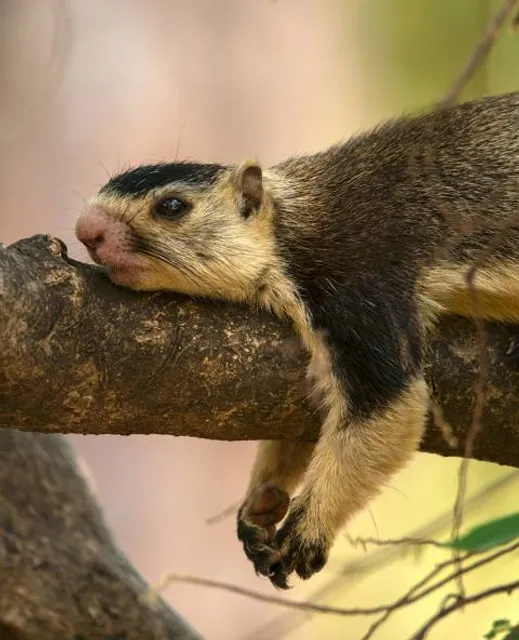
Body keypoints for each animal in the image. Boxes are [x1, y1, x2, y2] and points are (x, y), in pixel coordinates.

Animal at [76, 92, 519, 589]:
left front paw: (306, 533)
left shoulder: (361, 295)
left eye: (172, 206)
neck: (293, 225)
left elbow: (391, 407)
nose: (85, 229)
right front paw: (258, 509)